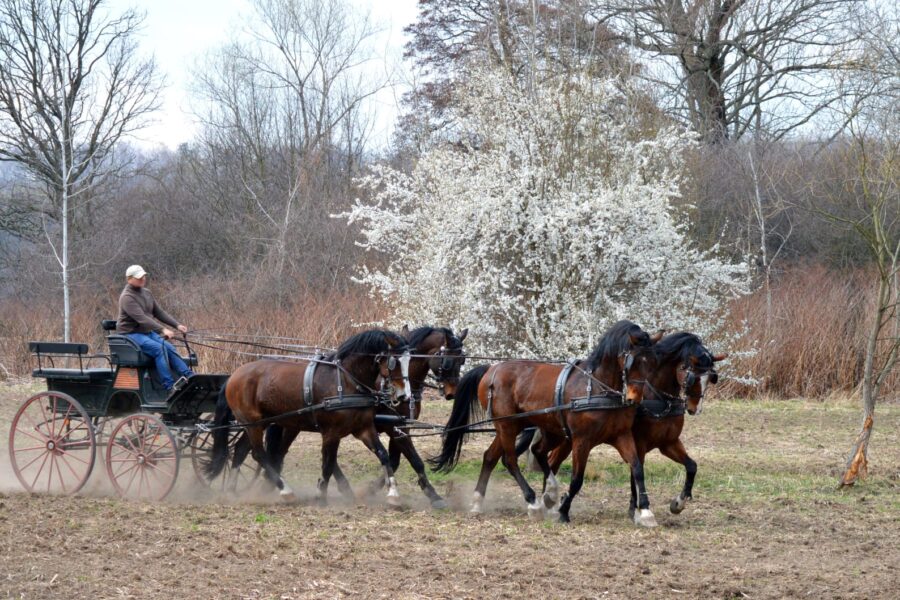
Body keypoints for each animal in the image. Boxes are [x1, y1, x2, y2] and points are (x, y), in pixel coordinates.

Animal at [205, 330, 412, 504]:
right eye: (394, 361)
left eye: (409, 360)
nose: (404, 396)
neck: (346, 381)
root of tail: (233, 376)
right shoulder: (331, 432)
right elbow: (328, 464)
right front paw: (321, 495)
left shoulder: (364, 429)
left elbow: (383, 455)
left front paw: (393, 493)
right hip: (253, 424)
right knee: (258, 454)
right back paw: (285, 490)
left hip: (258, 423)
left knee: (240, 450)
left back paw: (232, 491)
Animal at [310, 326, 468, 508]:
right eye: (448, 361)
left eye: (462, 360)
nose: (452, 392)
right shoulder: (393, 428)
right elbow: (414, 460)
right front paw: (432, 494)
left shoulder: (400, 427)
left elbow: (395, 461)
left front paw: (373, 489)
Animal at [428, 322, 660, 524]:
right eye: (632, 361)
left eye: (652, 362)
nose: (634, 398)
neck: (598, 388)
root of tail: (491, 369)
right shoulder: (581, 440)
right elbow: (577, 479)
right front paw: (563, 512)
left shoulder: (621, 435)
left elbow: (637, 468)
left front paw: (646, 512)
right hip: (507, 426)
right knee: (510, 460)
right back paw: (534, 502)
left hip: (530, 428)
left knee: (500, 456)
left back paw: (483, 501)